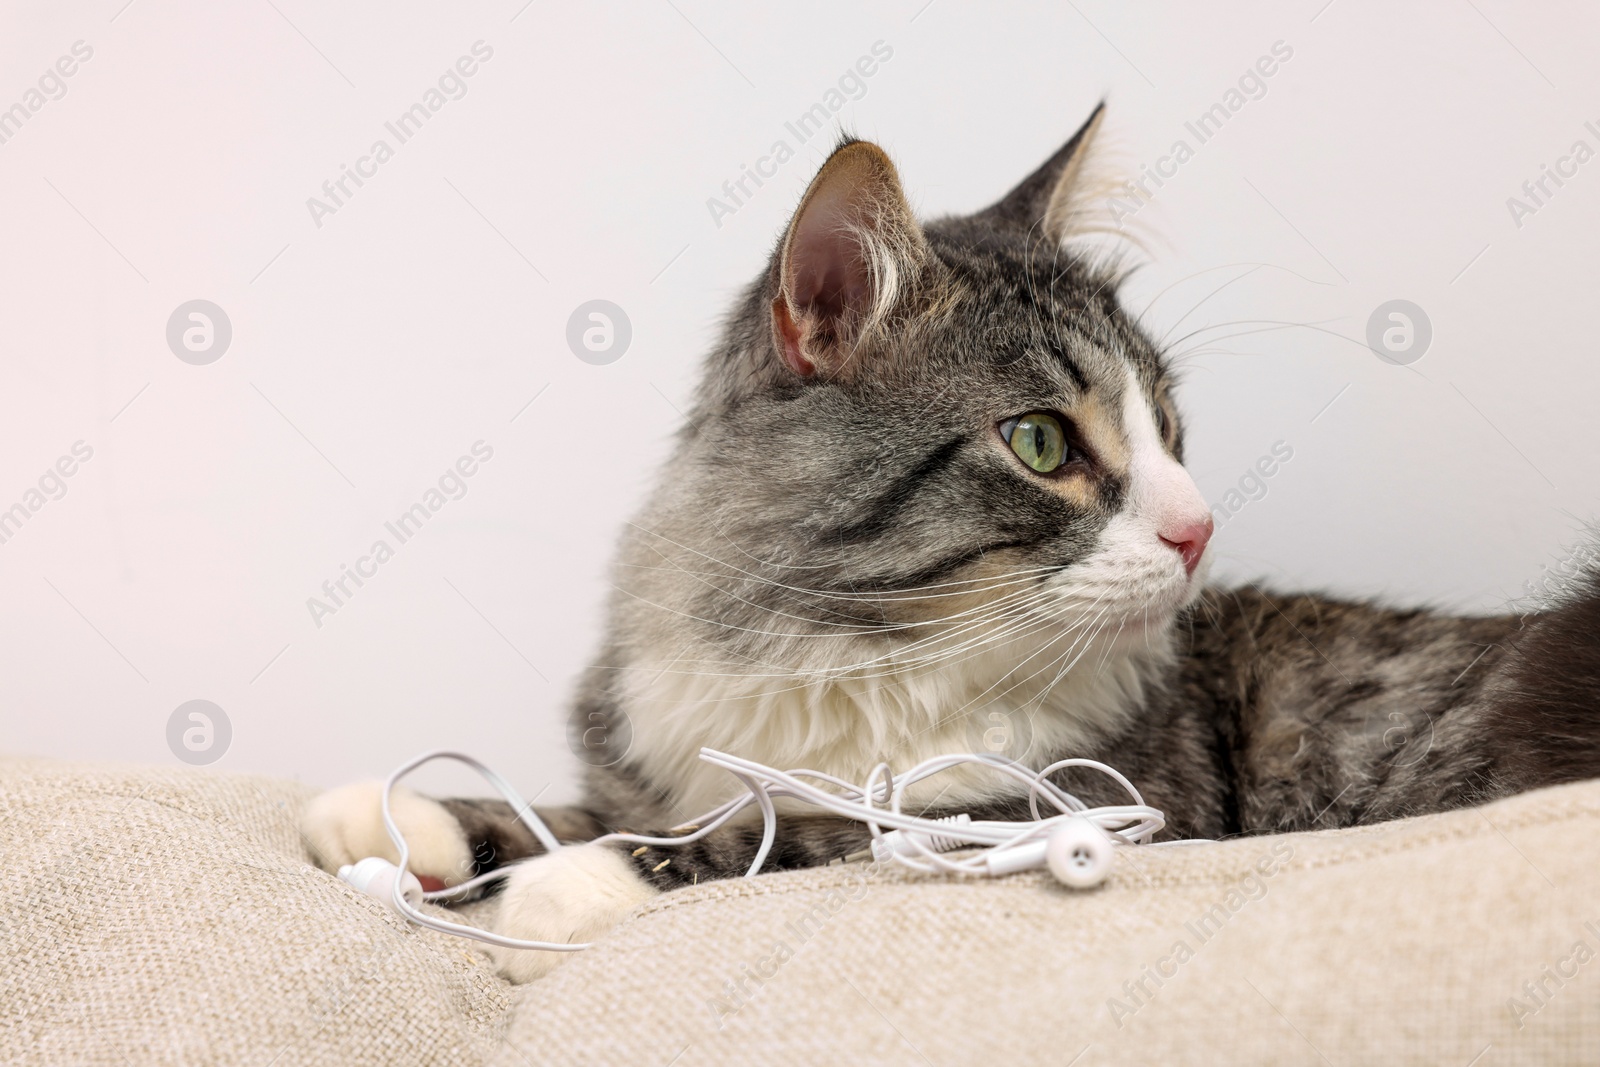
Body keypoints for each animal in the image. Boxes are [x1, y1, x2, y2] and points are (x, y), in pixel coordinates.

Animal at [305, 108, 1600, 985]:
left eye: (1170, 432)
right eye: (1041, 440)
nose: (1198, 529)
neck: (839, 651)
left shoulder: (1093, 801)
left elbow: (797, 838)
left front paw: (580, 884)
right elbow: (567, 804)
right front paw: (407, 816)